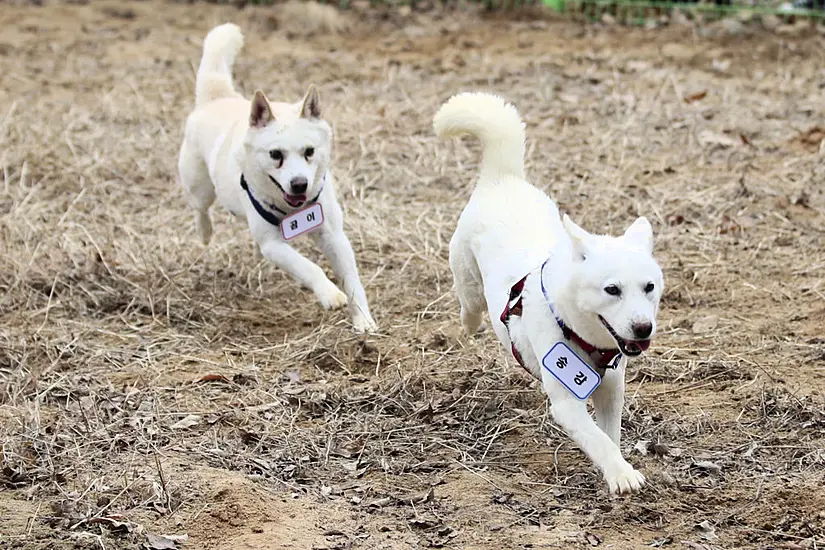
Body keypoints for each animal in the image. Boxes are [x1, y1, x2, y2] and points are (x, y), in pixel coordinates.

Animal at [180, 23, 376, 334]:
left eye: (309, 151)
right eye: (275, 154)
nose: (299, 184)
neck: (293, 209)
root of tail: (219, 96)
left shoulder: (333, 235)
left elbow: (352, 279)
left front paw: (363, 320)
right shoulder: (274, 244)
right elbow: (309, 266)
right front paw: (329, 294)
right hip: (199, 186)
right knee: (200, 208)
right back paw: (205, 232)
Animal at [434, 92, 668, 498]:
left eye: (649, 287)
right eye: (612, 290)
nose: (643, 329)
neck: (581, 333)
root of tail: (503, 178)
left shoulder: (611, 387)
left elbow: (609, 435)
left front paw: (615, 468)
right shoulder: (567, 402)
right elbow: (598, 439)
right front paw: (622, 475)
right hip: (467, 276)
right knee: (469, 302)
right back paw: (470, 323)